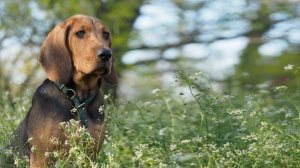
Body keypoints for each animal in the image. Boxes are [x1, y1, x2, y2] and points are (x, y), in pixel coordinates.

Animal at [5, 14, 118, 167]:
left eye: (106, 34)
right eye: (80, 33)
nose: (106, 54)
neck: (79, 100)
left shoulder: (90, 155)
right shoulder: (41, 157)